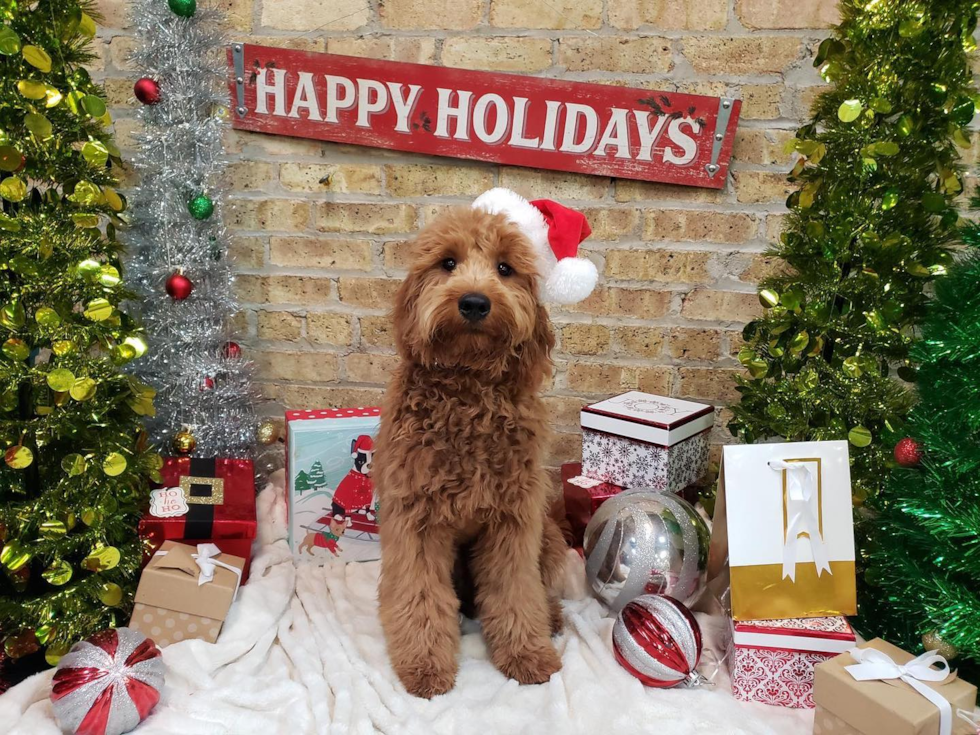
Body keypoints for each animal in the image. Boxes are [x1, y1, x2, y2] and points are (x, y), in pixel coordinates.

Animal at [378, 206, 572, 696]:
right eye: (448, 262)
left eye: (504, 268)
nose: (474, 303)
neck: (467, 391)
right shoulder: (416, 521)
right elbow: (420, 596)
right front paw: (424, 665)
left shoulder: (513, 522)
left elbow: (515, 592)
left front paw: (527, 654)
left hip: (550, 536)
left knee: (541, 590)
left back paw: (552, 619)